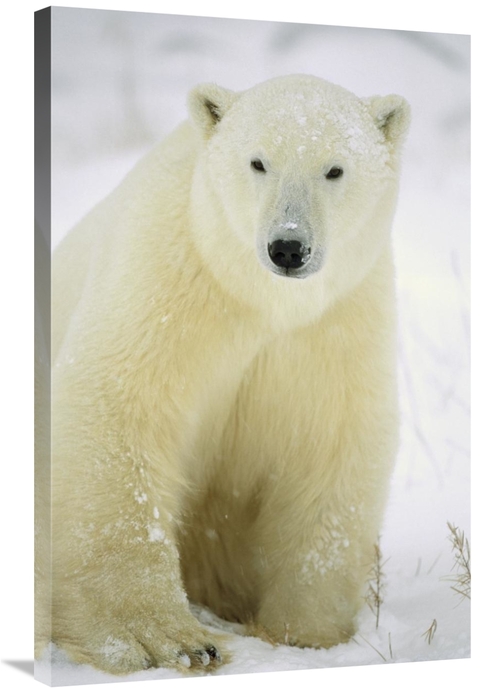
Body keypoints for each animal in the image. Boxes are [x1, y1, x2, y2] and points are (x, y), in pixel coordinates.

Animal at [38, 74, 410, 676]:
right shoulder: (167, 281)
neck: (259, 298)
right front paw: (167, 639)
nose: (288, 247)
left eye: (335, 169)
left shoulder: (334, 323)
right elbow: (117, 408)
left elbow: (331, 444)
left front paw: (307, 632)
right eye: (258, 162)